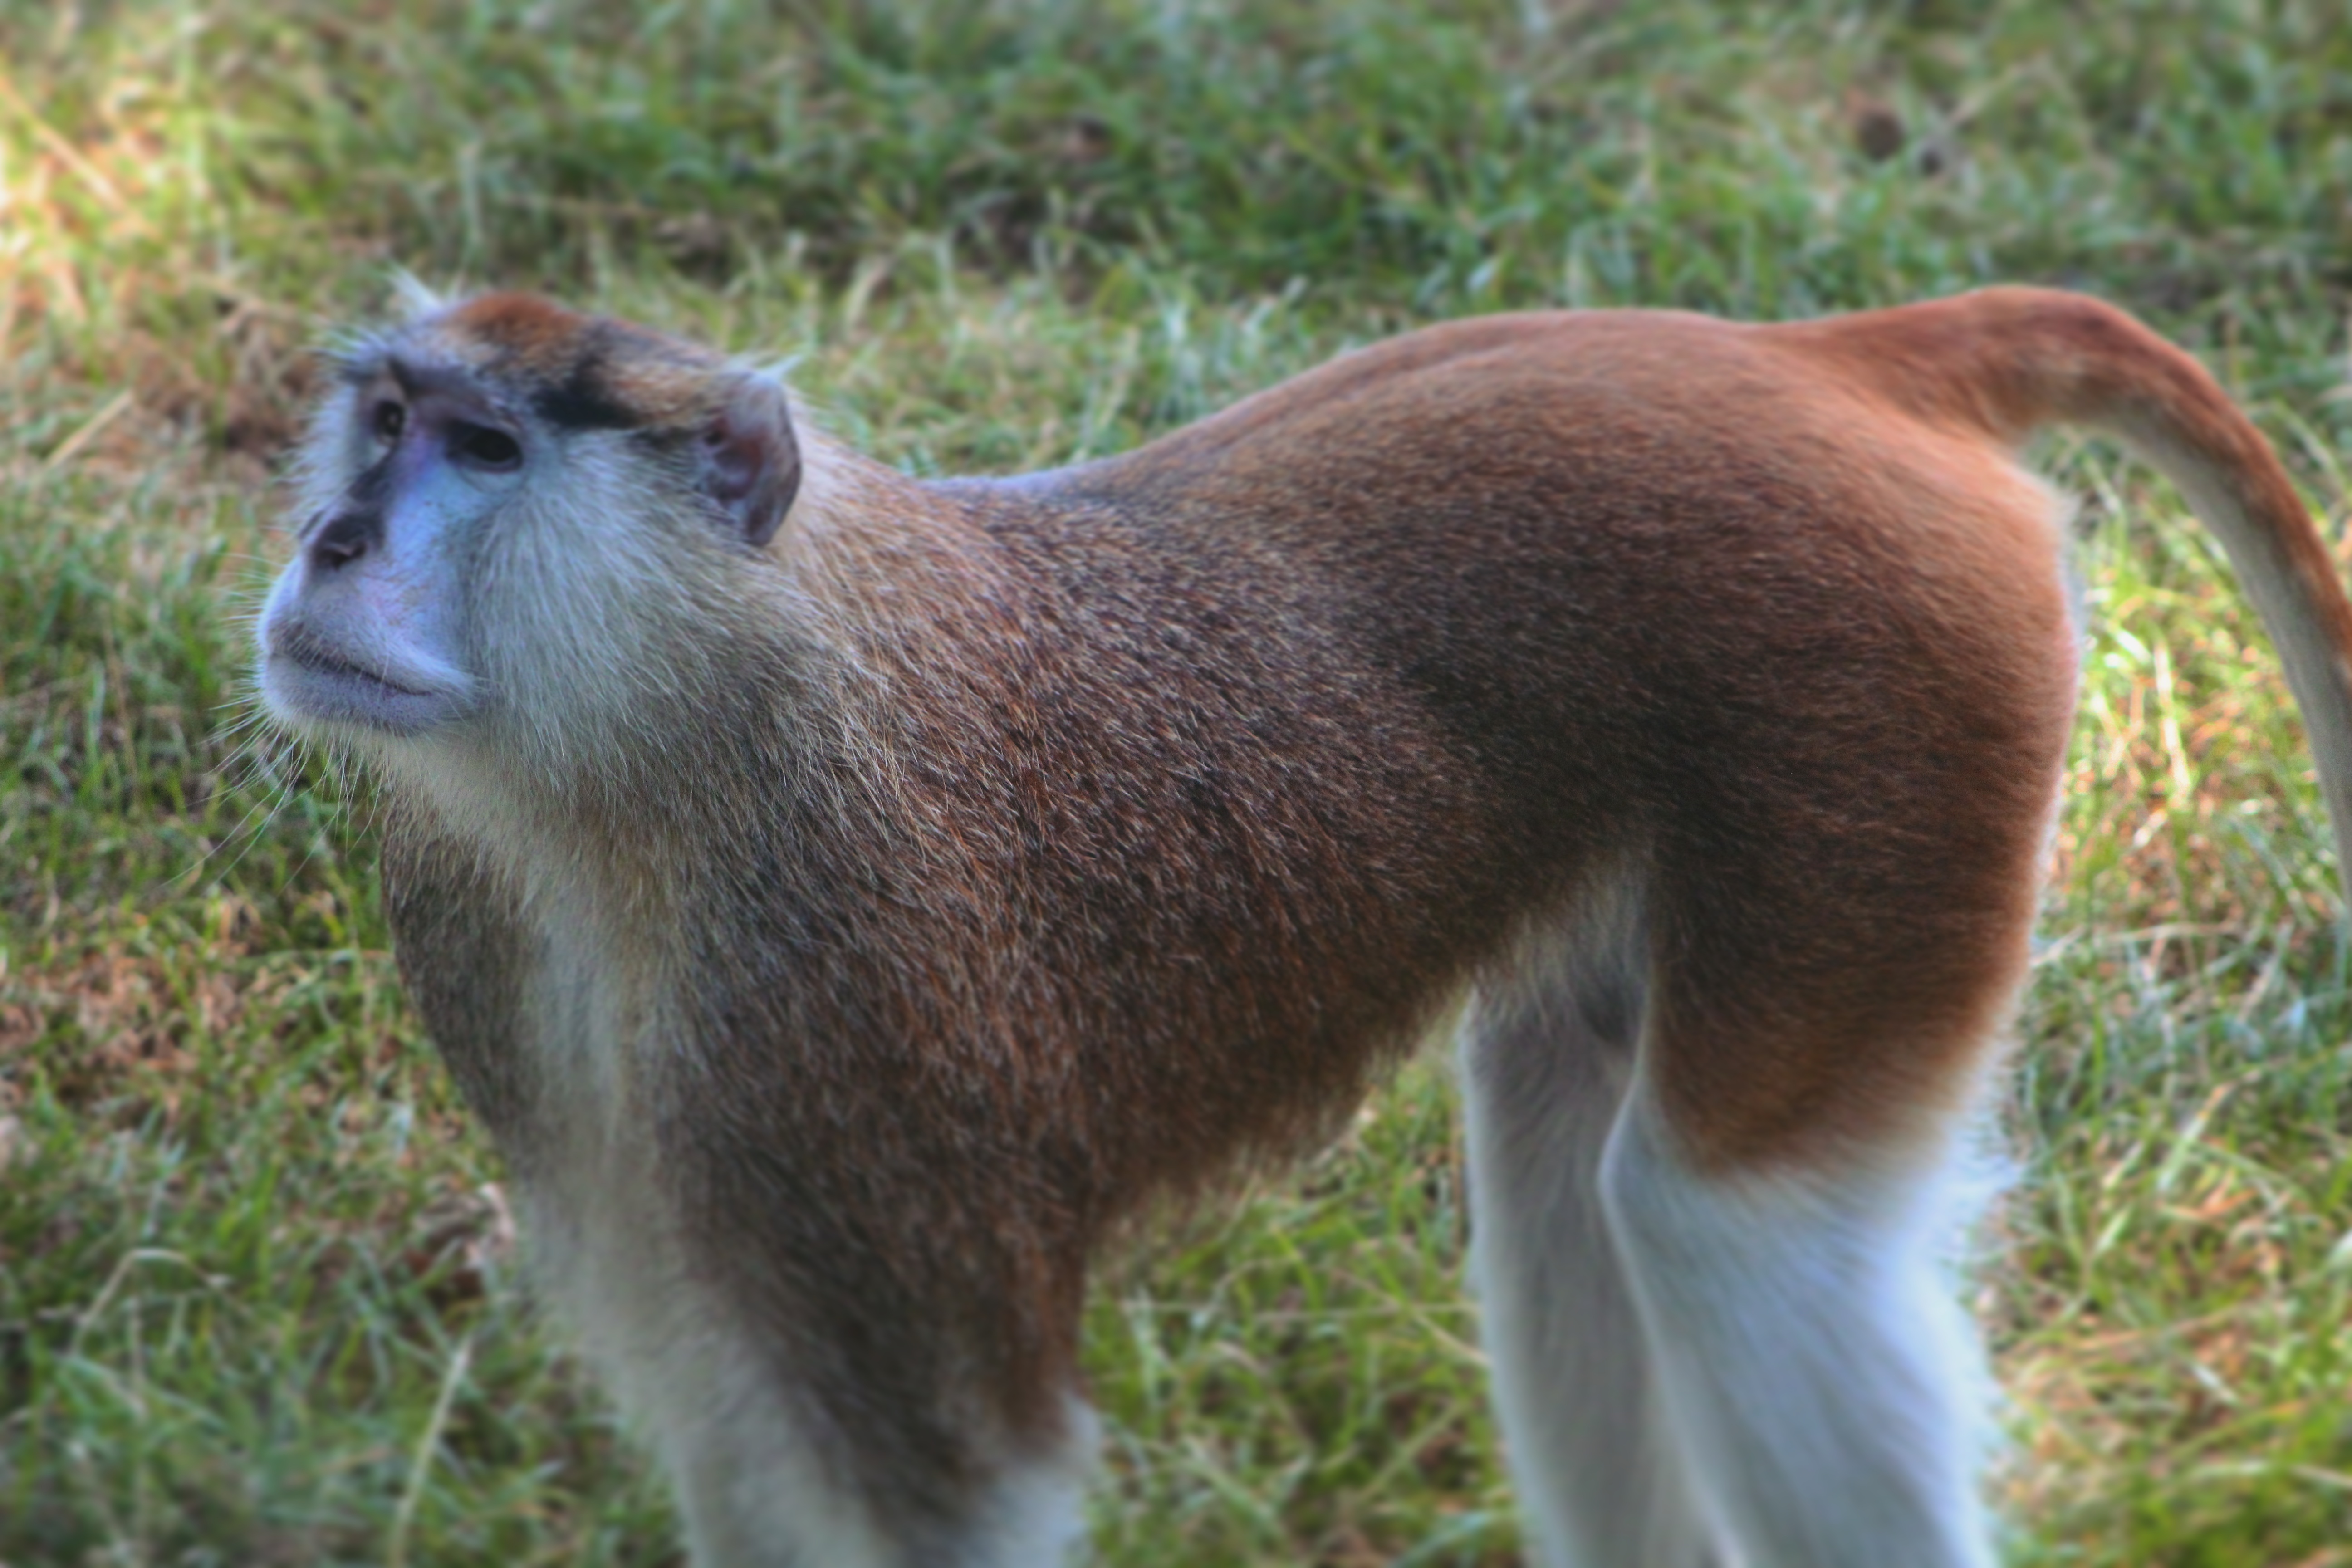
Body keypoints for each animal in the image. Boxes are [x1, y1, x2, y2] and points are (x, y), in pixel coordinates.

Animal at [253, 283, 2352, 1568]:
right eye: (383, 422)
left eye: (488, 453)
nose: (329, 544)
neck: (695, 726)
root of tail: (1843, 362)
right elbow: (731, 1428)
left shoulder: (854, 1049)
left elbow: (957, 1488)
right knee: (1573, 1180)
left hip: (1886, 740)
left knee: (1726, 1234)